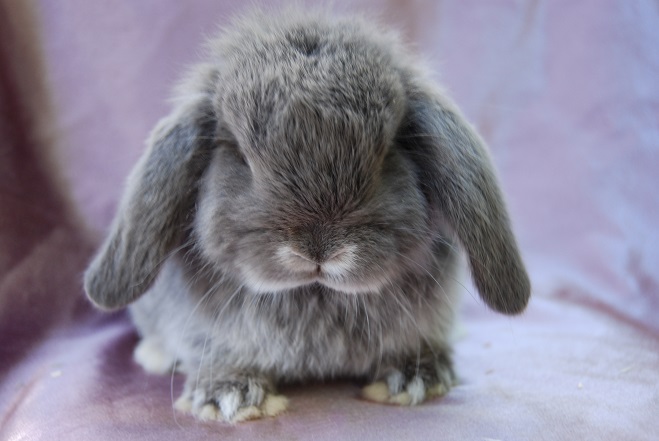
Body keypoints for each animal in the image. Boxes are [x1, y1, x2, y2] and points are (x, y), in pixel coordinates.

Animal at [82, 8, 532, 422]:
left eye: (389, 151)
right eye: (238, 154)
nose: (318, 248)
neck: (314, 293)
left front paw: (416, 378)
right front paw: (230, 396)